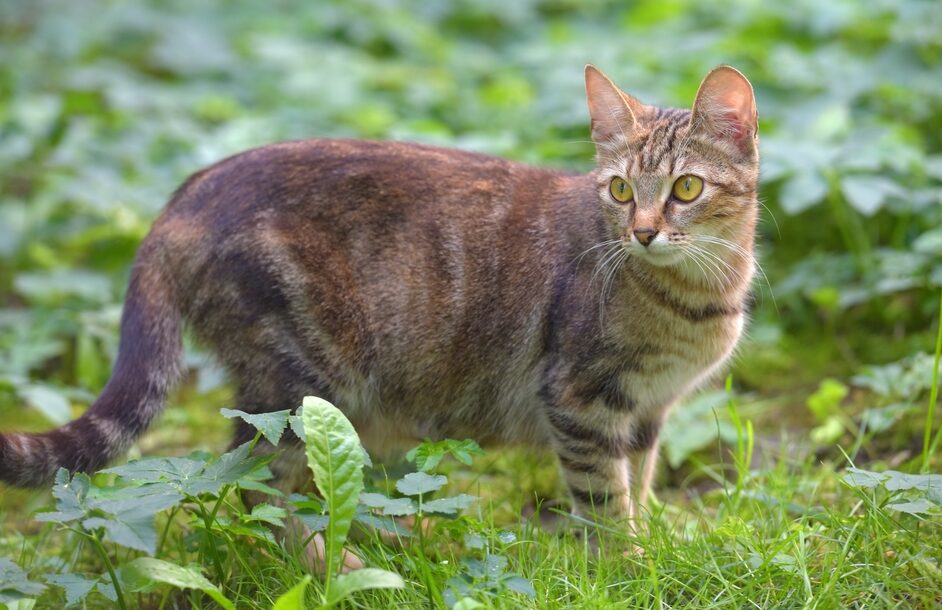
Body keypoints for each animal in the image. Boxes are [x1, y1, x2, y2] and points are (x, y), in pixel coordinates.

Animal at [0, 65, 760, 556]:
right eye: (621, 190)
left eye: (686, 189)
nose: (644, 232)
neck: (699, 299)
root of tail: (185, 196)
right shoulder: (581, 399)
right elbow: (604, 499)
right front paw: (632, 566)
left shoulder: (648, 412)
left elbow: (642, 480)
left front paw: (655, 534)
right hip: (300, 381)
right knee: (256, 491)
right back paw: (338, 565)